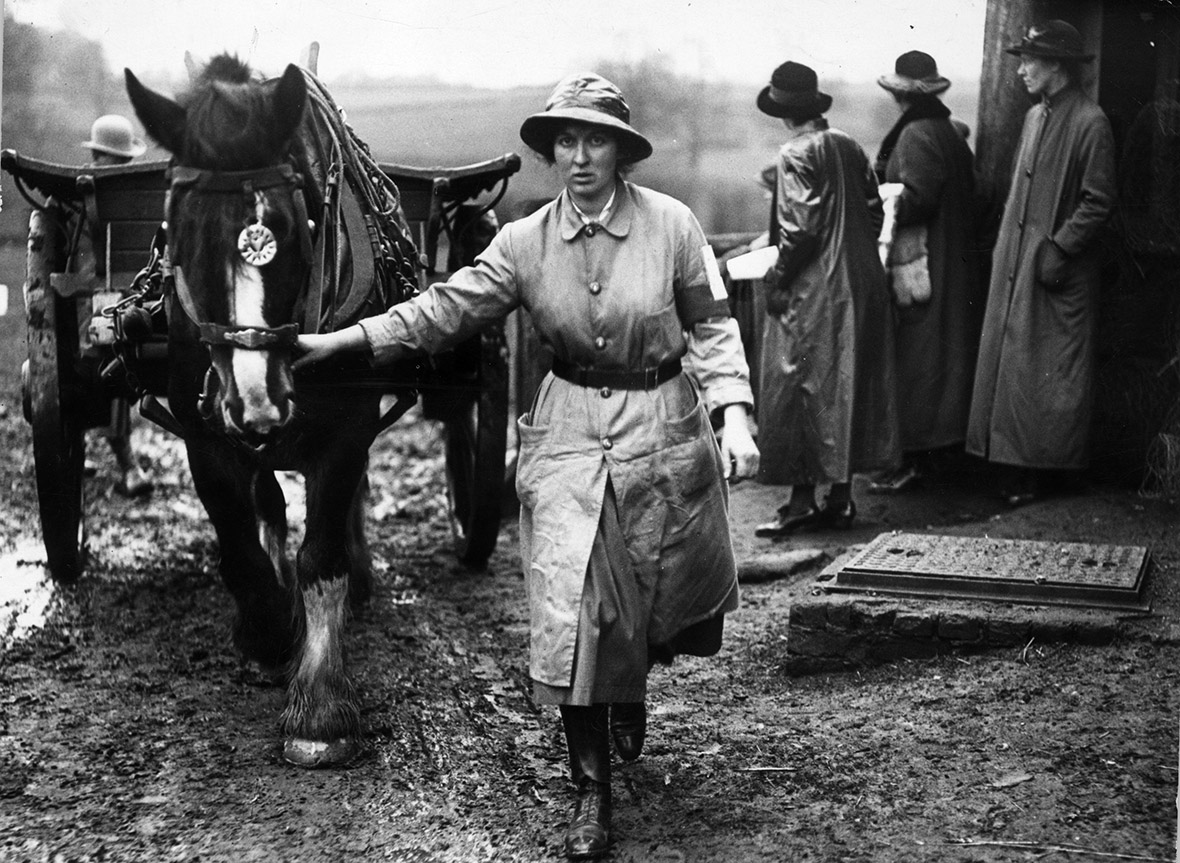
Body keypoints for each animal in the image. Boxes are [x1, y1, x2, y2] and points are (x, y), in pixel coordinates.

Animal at [125, 55, 415, 769]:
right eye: (183, 234)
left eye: (294, 227)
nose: (258, 400)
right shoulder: (204, 431)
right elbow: (239, 546)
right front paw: (267, 630)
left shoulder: (346, 430)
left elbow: (323, 554)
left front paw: (320, 706)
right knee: (269, 506)